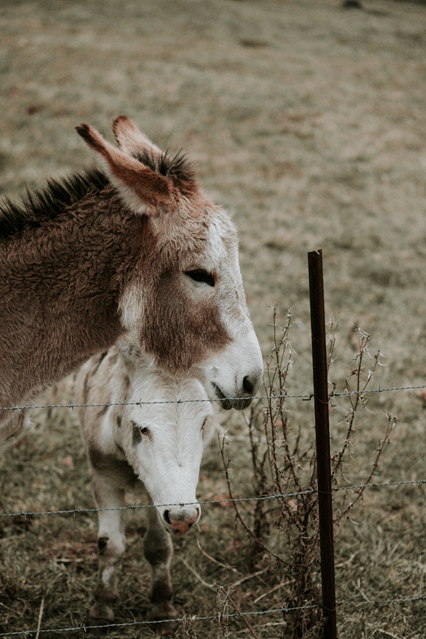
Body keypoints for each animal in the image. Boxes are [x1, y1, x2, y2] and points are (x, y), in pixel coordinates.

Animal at [74, 342, 215, 628]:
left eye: (203, 423)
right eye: (142, 429)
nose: (184, 518)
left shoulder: (160, 494)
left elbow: (158, 546)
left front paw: (162, 607)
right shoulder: (103, 476)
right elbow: (110, 544)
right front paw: (101, 608)